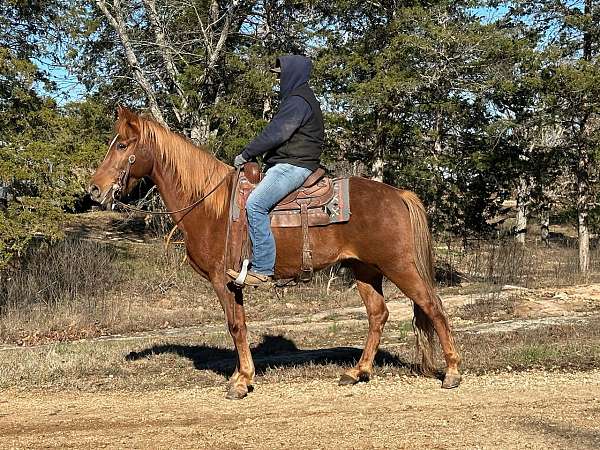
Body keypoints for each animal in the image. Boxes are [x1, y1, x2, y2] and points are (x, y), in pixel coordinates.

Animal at [89, 107, 462, 400]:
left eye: (122, 145)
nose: (94, 189)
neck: (210, 205)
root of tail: (398, 194)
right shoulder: (233, 282)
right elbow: (239, 324)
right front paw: (241, 375)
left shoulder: (220, 280)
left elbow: (234, 326)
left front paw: (241, 383)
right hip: (365, 270)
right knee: (378, 315)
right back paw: (357, 372)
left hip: (399, 265)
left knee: (433, 307)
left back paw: (452, 372)